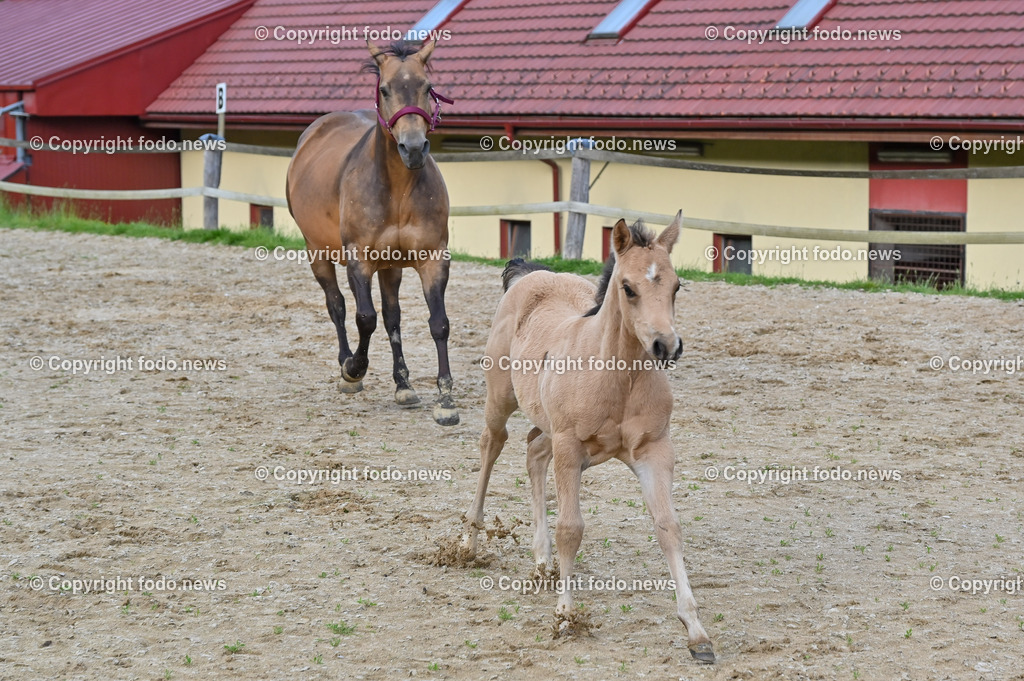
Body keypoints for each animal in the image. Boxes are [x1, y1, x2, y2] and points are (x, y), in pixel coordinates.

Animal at [285, 39, 459, 426]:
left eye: (427, 87)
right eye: (385, 89)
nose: (413, 148)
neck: (398, 189)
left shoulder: (433, 260)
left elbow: (438, 323)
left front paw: (445, 399)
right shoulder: (359, 261)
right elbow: (364, 318)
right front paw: (354, 369)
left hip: (390, 266)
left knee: (392, 316)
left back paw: (403, 384)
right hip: (318, 253)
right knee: (336, 306)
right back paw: (346, 367)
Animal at [457, 213, 715, 663]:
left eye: (677, 285)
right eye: (628, 287)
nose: (666, 345)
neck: (618, 378)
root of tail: (530, 273)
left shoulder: (654, 451)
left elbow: (668, 526)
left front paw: (696, 632)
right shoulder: (570, 447)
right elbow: (571, 528)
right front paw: (565, 617)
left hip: (548, 427)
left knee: (533, 451)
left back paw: (543, 562)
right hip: (501, 400)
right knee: (492, 445)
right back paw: (470, 544)